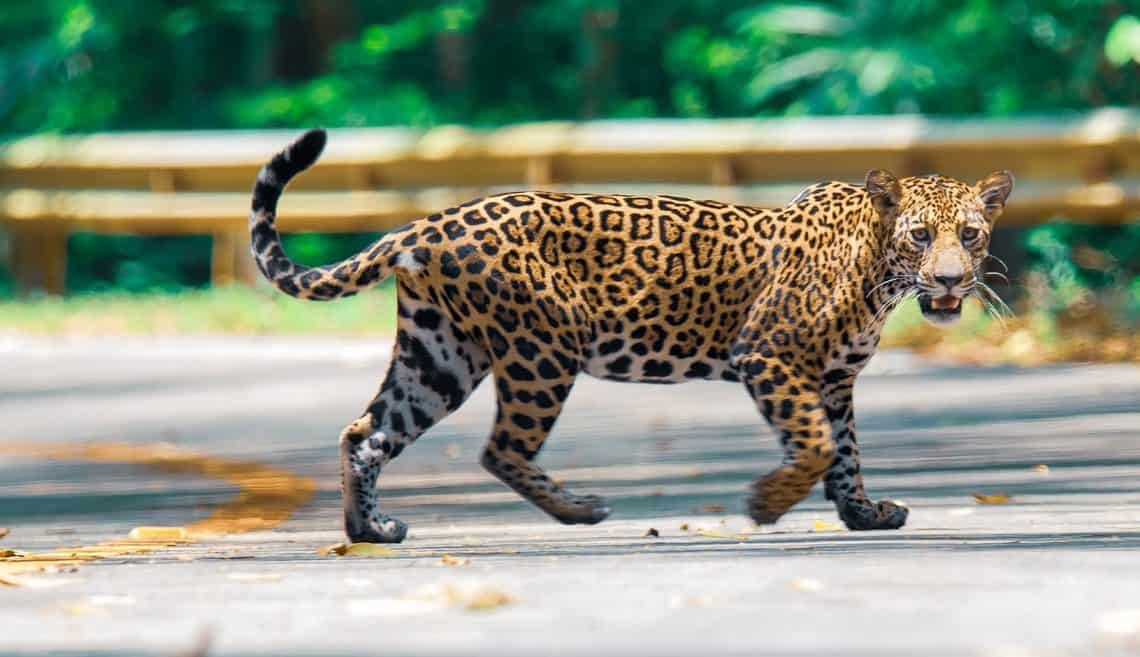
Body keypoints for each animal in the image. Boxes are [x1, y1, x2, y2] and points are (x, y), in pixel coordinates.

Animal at [249, 128, 1014, 543]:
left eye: (970, 235)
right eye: (921, 236)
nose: (950, 281)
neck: (876, 268)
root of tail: (425, 224)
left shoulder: (832, 379)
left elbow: (846, 451)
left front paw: (862, 513)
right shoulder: (768, 355)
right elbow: (819, 444)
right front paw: (765, 503)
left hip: (439, 353)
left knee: (366, 433)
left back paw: (366, 530)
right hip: (543, 347)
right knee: (501, 448)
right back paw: (581, 510)